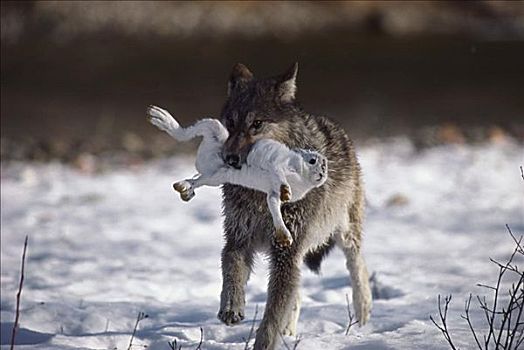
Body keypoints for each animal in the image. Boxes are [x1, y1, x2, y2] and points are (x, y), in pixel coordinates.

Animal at [147, 105, 328, 245]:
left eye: (325, 165)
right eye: (312, 160)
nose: (322, 173)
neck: (300, 174)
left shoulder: (271, 193)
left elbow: (274, 207)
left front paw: (285, 239)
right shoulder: (277, 162)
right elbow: (278, 173)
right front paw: (285, 191)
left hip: (215, 177)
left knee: (198, 179)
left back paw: (184, 190)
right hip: (213, 130)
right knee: (186, 133)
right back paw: (159, 117)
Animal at [217, 63, 372, 350]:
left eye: (256, 124)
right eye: (230, 123)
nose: (230, 158)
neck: (260, 194)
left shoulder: (286, 253)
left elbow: (271, 316)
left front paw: (263, 345)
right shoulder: (238, 239)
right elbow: (231, 271)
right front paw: (232, 309)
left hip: (344, 233)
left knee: (357, 265)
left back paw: (363, 313)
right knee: (296, 294)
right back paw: (289, 332)